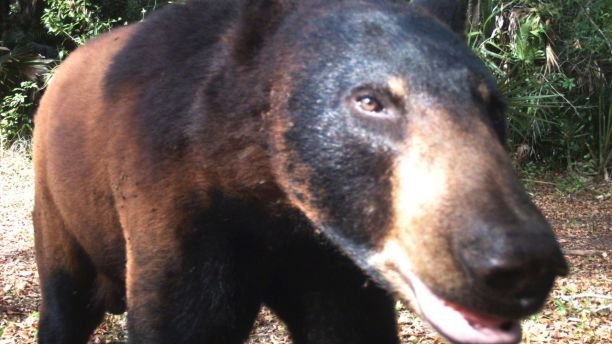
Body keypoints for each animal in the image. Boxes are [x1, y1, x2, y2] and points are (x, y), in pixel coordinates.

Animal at [32, 0, 568, 342]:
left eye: (494, 107)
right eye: (370, 101)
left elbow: (351, 326)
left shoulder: (329, 261)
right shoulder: (175, 205)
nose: (523, 260)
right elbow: (181, 321)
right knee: (64, 307)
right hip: (59, 207)